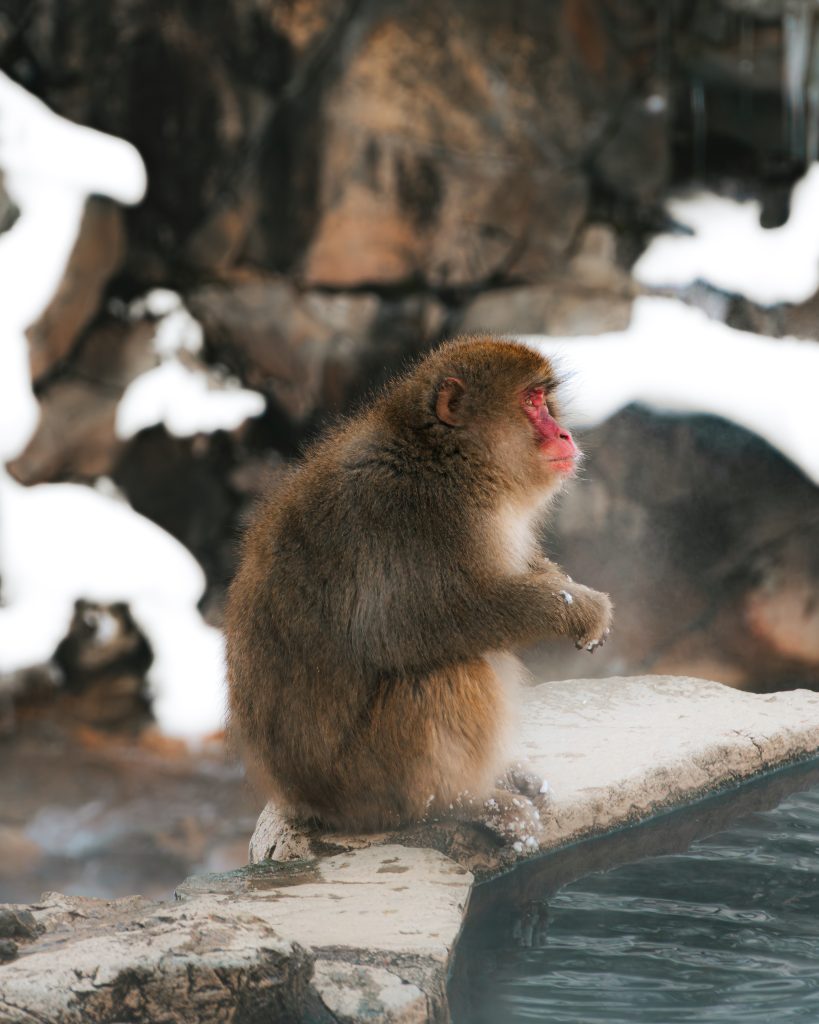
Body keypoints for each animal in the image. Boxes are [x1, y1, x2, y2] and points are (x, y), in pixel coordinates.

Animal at [225, 336, 612, 837]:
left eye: (545, 401)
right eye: (531, 402)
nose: (563, 435)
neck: (448, 460)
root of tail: (305, 801)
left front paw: (561, 583)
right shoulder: (413, 515)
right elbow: (406, 628)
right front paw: (576, 608)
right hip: (369, 782)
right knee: (446, 671)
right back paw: (467, 802)